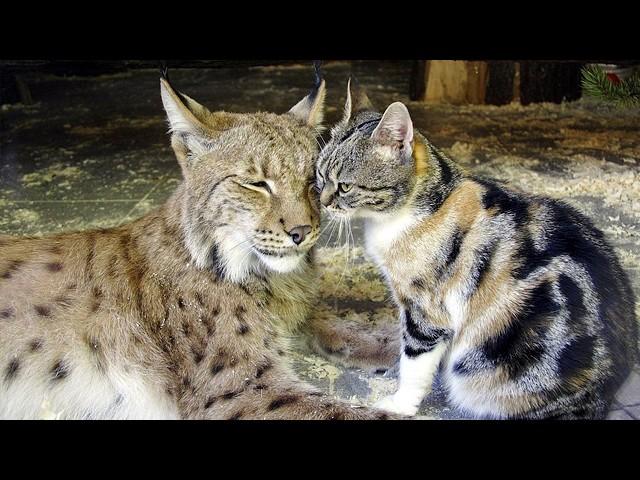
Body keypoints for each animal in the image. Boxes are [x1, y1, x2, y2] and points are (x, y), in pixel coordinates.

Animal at [314, 80, 636, 418]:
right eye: (321, 175)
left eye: (345, 186)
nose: (322, 202)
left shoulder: (427, 310)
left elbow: (415, 362)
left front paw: (400, 404)